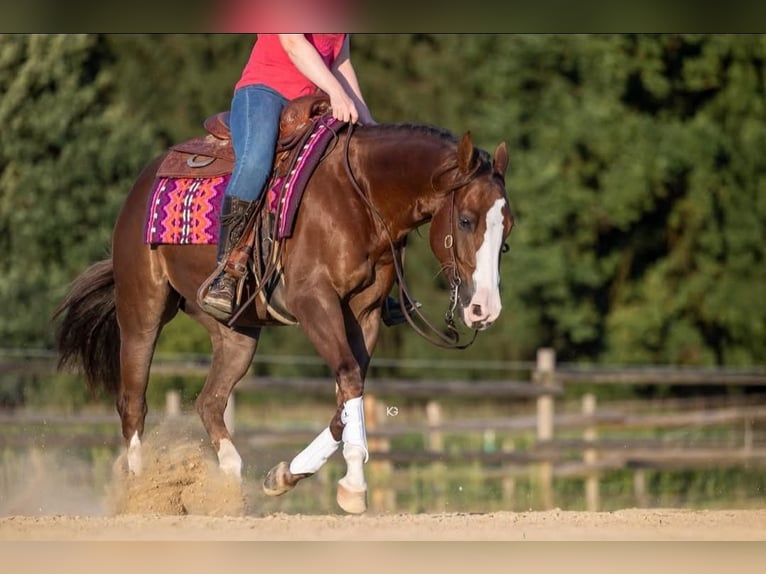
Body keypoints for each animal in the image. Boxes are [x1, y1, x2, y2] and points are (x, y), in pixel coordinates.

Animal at [53, 119, 514, 514]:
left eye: (506, 230)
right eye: (466, 220)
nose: (485, 309)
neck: (359, 199)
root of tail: (143, 181)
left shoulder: (363, 314)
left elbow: (347, 396)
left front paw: (285, 475)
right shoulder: (314, 301)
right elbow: (349, 381)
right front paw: (353, 487)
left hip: (236, 333)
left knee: (209, 402)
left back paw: (230, 485)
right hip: (142, 310)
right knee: (133, 403)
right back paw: (140, 494)